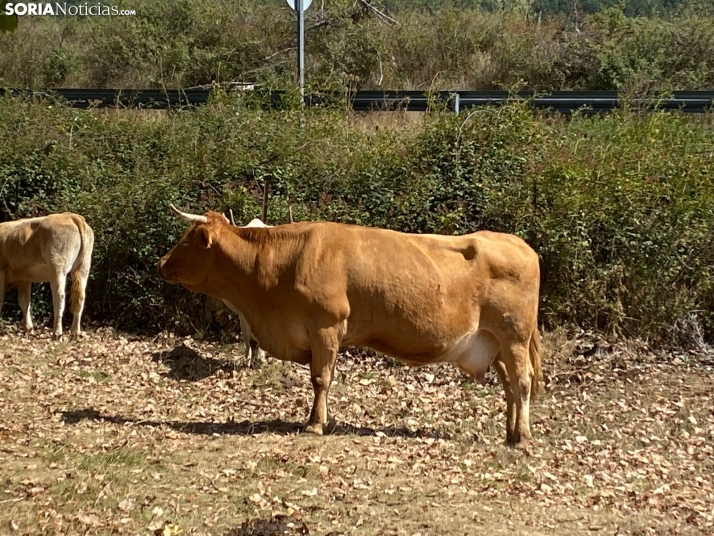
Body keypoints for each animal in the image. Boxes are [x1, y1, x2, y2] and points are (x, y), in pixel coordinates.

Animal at [159, 205, 540, 444]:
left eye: (188, 238)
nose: (161, 261)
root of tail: (519, 244)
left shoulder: (326, 328)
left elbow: (320, 379)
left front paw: (315, 424)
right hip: (495, 342)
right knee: (509, 386)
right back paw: (510, 433)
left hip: (514, 335)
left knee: (522, 382)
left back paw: (522, 437)